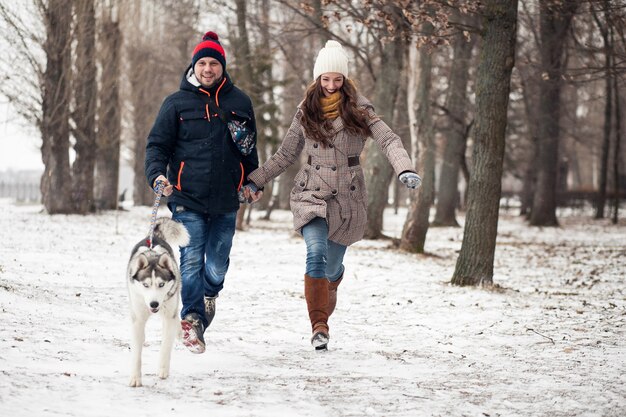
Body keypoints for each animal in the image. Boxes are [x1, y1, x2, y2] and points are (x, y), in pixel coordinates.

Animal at [125, 218, 188, 386]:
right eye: (146, 285)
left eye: (161, 284)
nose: (154, 304)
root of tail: (154, 236)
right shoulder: (138, 317)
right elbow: (136, 353)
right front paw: (135, 378)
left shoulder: (168, 314)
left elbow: (165, 346)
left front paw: (163, 370)